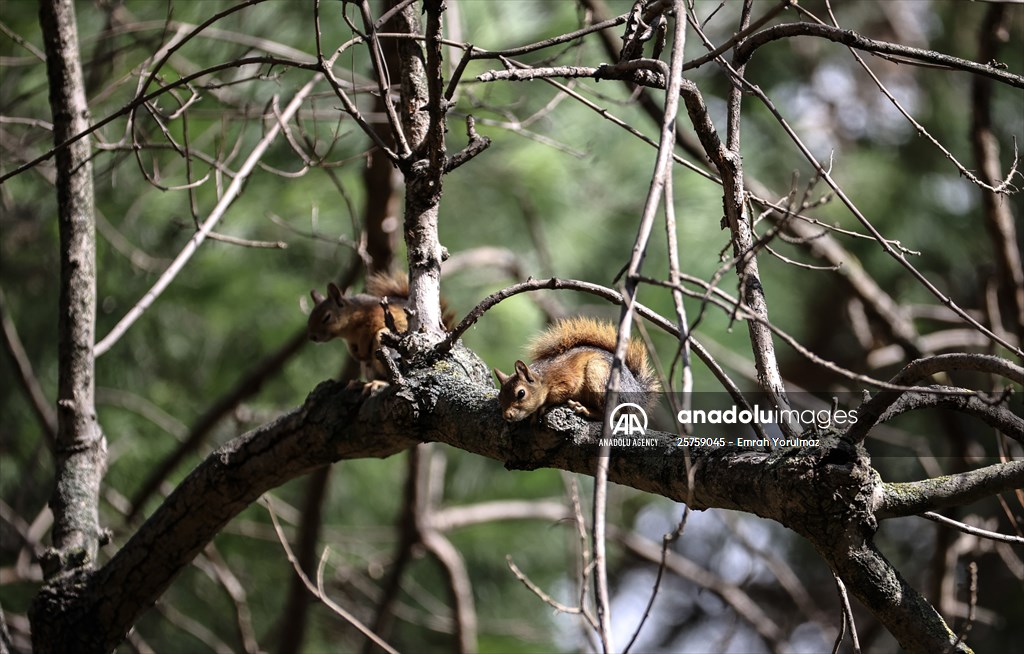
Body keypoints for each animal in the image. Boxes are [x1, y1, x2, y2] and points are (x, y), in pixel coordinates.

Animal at [494, 317, 661, 422]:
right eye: (500, 398)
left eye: (521, 393)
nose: (507, 416)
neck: (544, 378)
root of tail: (639, 395)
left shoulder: (565, 378)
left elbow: (563, 393)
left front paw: (542, 407)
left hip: (598, 373)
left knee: (614, 414)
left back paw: (586, 410)